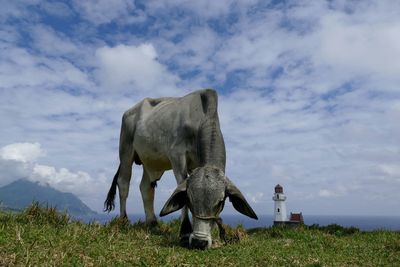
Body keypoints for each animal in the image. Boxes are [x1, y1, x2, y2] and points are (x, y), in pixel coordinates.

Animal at [104, 89, 258, 249]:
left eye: (220, 202)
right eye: (188, 198)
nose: (199, 242)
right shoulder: (177, 155)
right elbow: (180, 185)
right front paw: (185, 232)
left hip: (150, 161)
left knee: (146, 187)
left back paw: (152, 222)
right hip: (126, 151)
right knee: (123, 183)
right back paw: (124, 220)